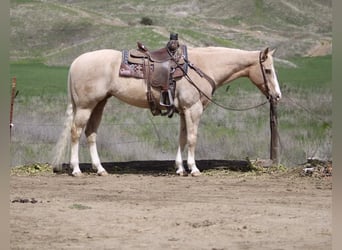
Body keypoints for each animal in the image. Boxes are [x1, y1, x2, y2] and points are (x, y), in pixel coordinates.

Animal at [52, 46, 280, 177]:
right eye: (268, 70)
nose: (277, 95)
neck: (201, 66)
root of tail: (77, 62)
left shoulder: (183, 111)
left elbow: (182, 138)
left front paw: (180, 168)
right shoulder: (193, 109)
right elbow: (192, 138)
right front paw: (194, 169)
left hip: (98, 104)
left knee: (91, 134)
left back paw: (100, 169)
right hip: (85, 106)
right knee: (76, 133)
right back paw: (76, 170)